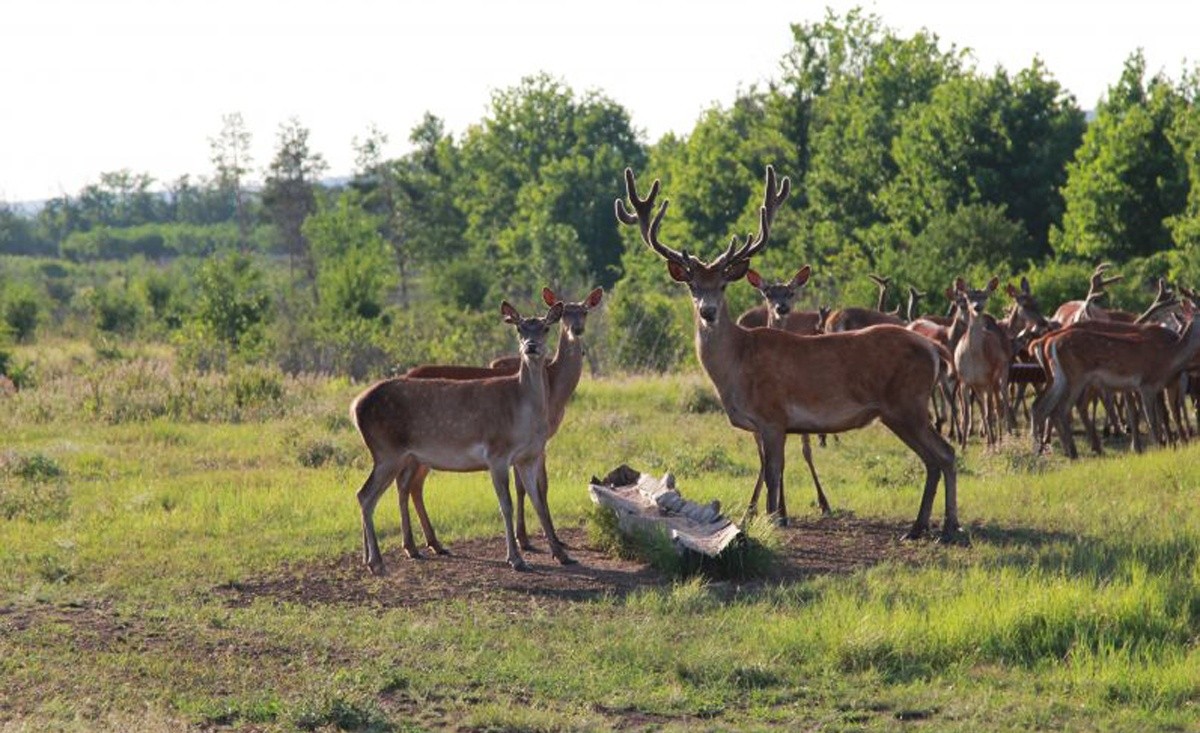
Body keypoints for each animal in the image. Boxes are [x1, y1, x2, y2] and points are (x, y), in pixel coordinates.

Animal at [350, 299, 568, 573]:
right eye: (520, 328)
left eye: (545, 328)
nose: (531, 346)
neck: (524, 413)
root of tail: (355, 406)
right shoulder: (497, 452)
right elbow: (505, 505)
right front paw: (516, 559)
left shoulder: (527, 457)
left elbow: (538, 500)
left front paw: (561, 554)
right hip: (386, 450)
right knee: (366, 495)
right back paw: (377, 561)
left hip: (399, 455)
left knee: (373, 493)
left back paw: (370, 557)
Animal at [400, 286, 604, 556]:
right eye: (564, 315)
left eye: (584, 311)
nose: (577, 329)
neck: (555, 389)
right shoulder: (532, 441)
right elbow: (532, 487)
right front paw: (528, 539)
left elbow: (536, 486)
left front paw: (547, 540)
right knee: (407, 484)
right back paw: (418, 545)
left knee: (413, 485)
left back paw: (433, 543)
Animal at [614, 167, 960, 544]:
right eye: (692, 285)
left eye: (723, 284)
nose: (707, 312)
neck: (737, 364)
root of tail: (934, 349)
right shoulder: (762, 424)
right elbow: (767, 471)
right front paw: (770, 518)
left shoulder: (773, 416)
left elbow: (773, 475)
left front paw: (772, 522)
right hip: (901, 411)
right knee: (934, 459)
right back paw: (919, 528)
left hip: (907, 403)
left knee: (946, 454)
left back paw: (948, 528)